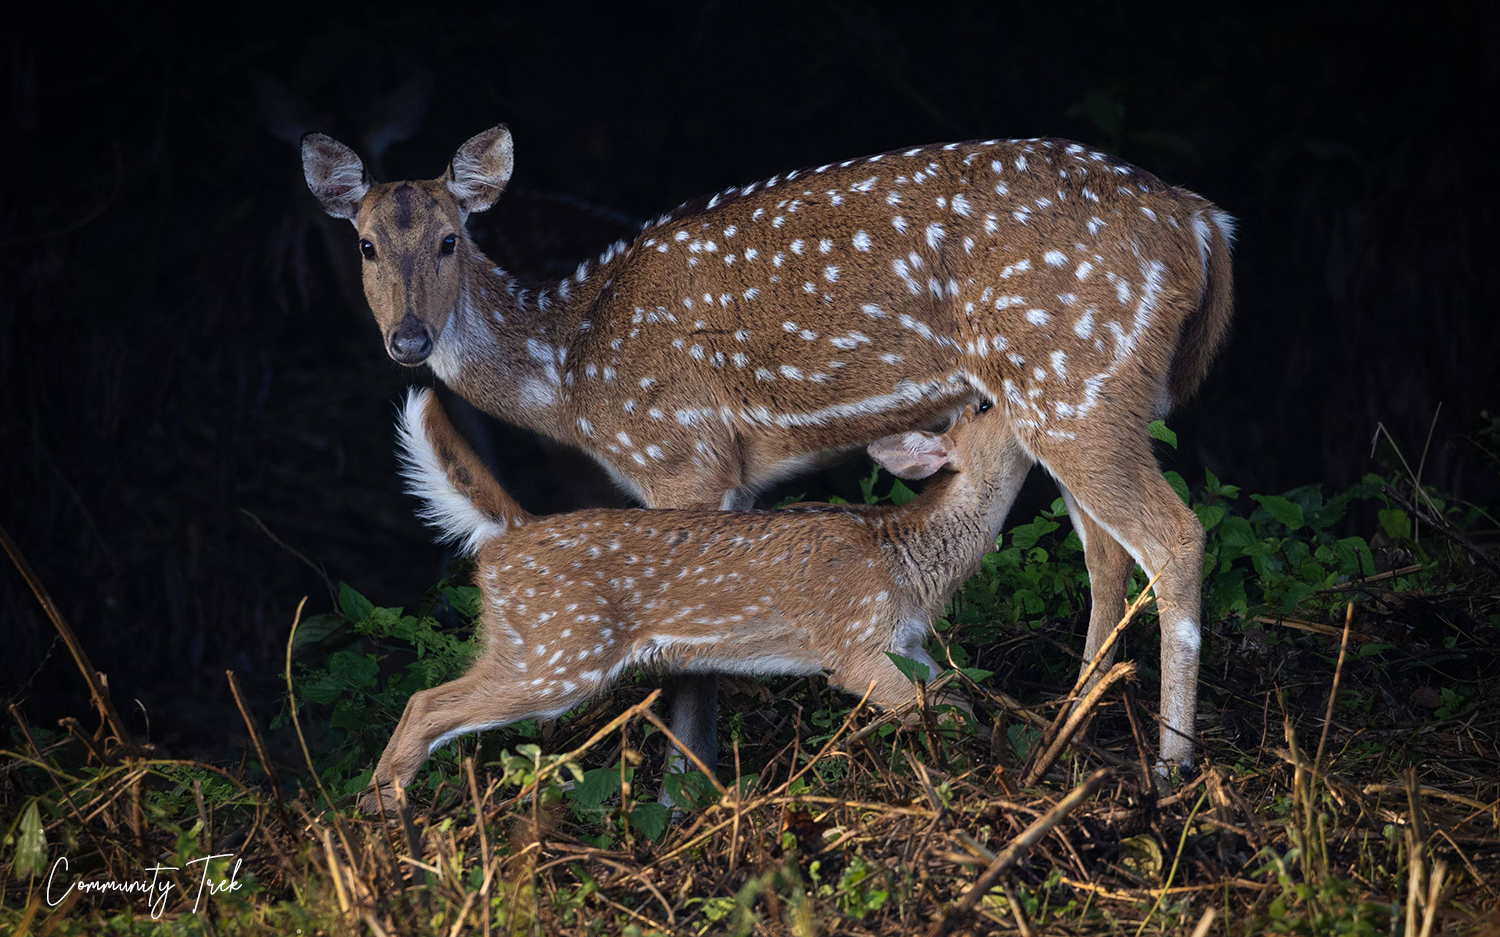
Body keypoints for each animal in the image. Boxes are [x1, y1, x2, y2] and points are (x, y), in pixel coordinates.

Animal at [358, 389, 1026, 809]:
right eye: (984, 403)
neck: (909, 560)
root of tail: (509, 532)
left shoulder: (907, 643)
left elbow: (956, 696)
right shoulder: (854, 645)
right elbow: (941, 710)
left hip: (529, 646)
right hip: (559, 653)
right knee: (426, 704)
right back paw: (385, 822)